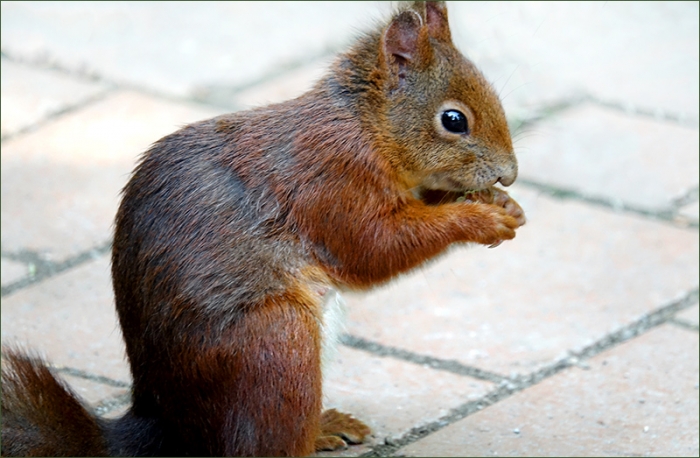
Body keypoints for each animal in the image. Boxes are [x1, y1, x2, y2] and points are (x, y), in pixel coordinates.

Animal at [1, 2, 525, 456]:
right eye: (453, 119)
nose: (510, 173)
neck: (366, 127)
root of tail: (170, 428)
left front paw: (502, 204)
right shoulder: (330, 183)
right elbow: (374, 248)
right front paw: (481, 219)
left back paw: (326, 425)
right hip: (277, 344)